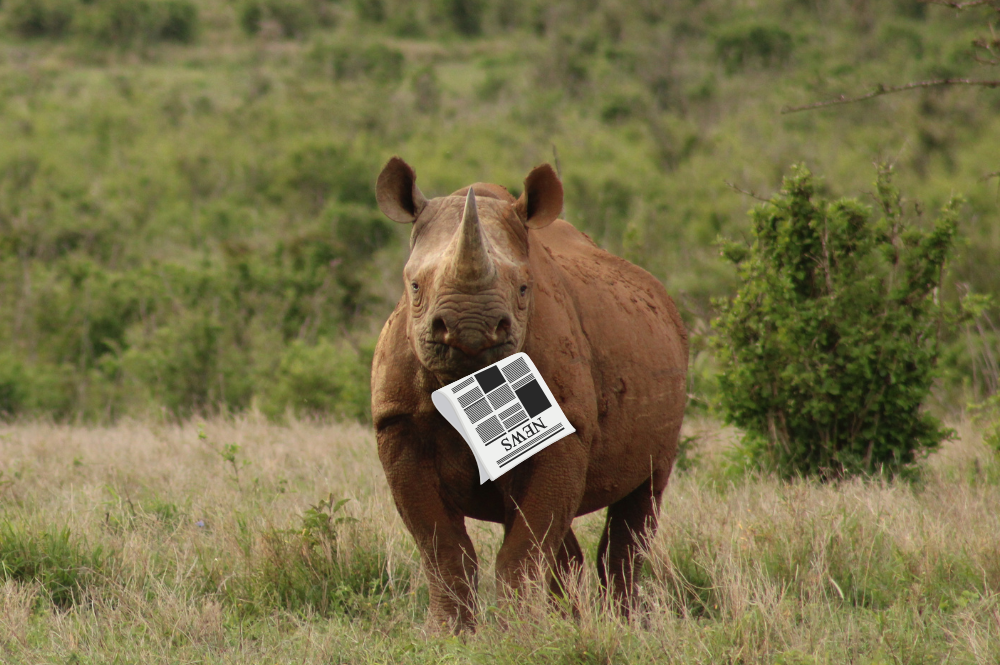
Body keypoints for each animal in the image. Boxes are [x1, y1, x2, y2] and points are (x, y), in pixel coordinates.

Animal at [370, 156, 688, 628]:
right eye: (413, 286)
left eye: (523, 289)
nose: (470, 329)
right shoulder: (398, 423)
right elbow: (442, 549)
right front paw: (449, 633)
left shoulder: (567, 426)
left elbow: (523, 550)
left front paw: (518, 633)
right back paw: (570, 621)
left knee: (641, 500)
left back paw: (621, 624)